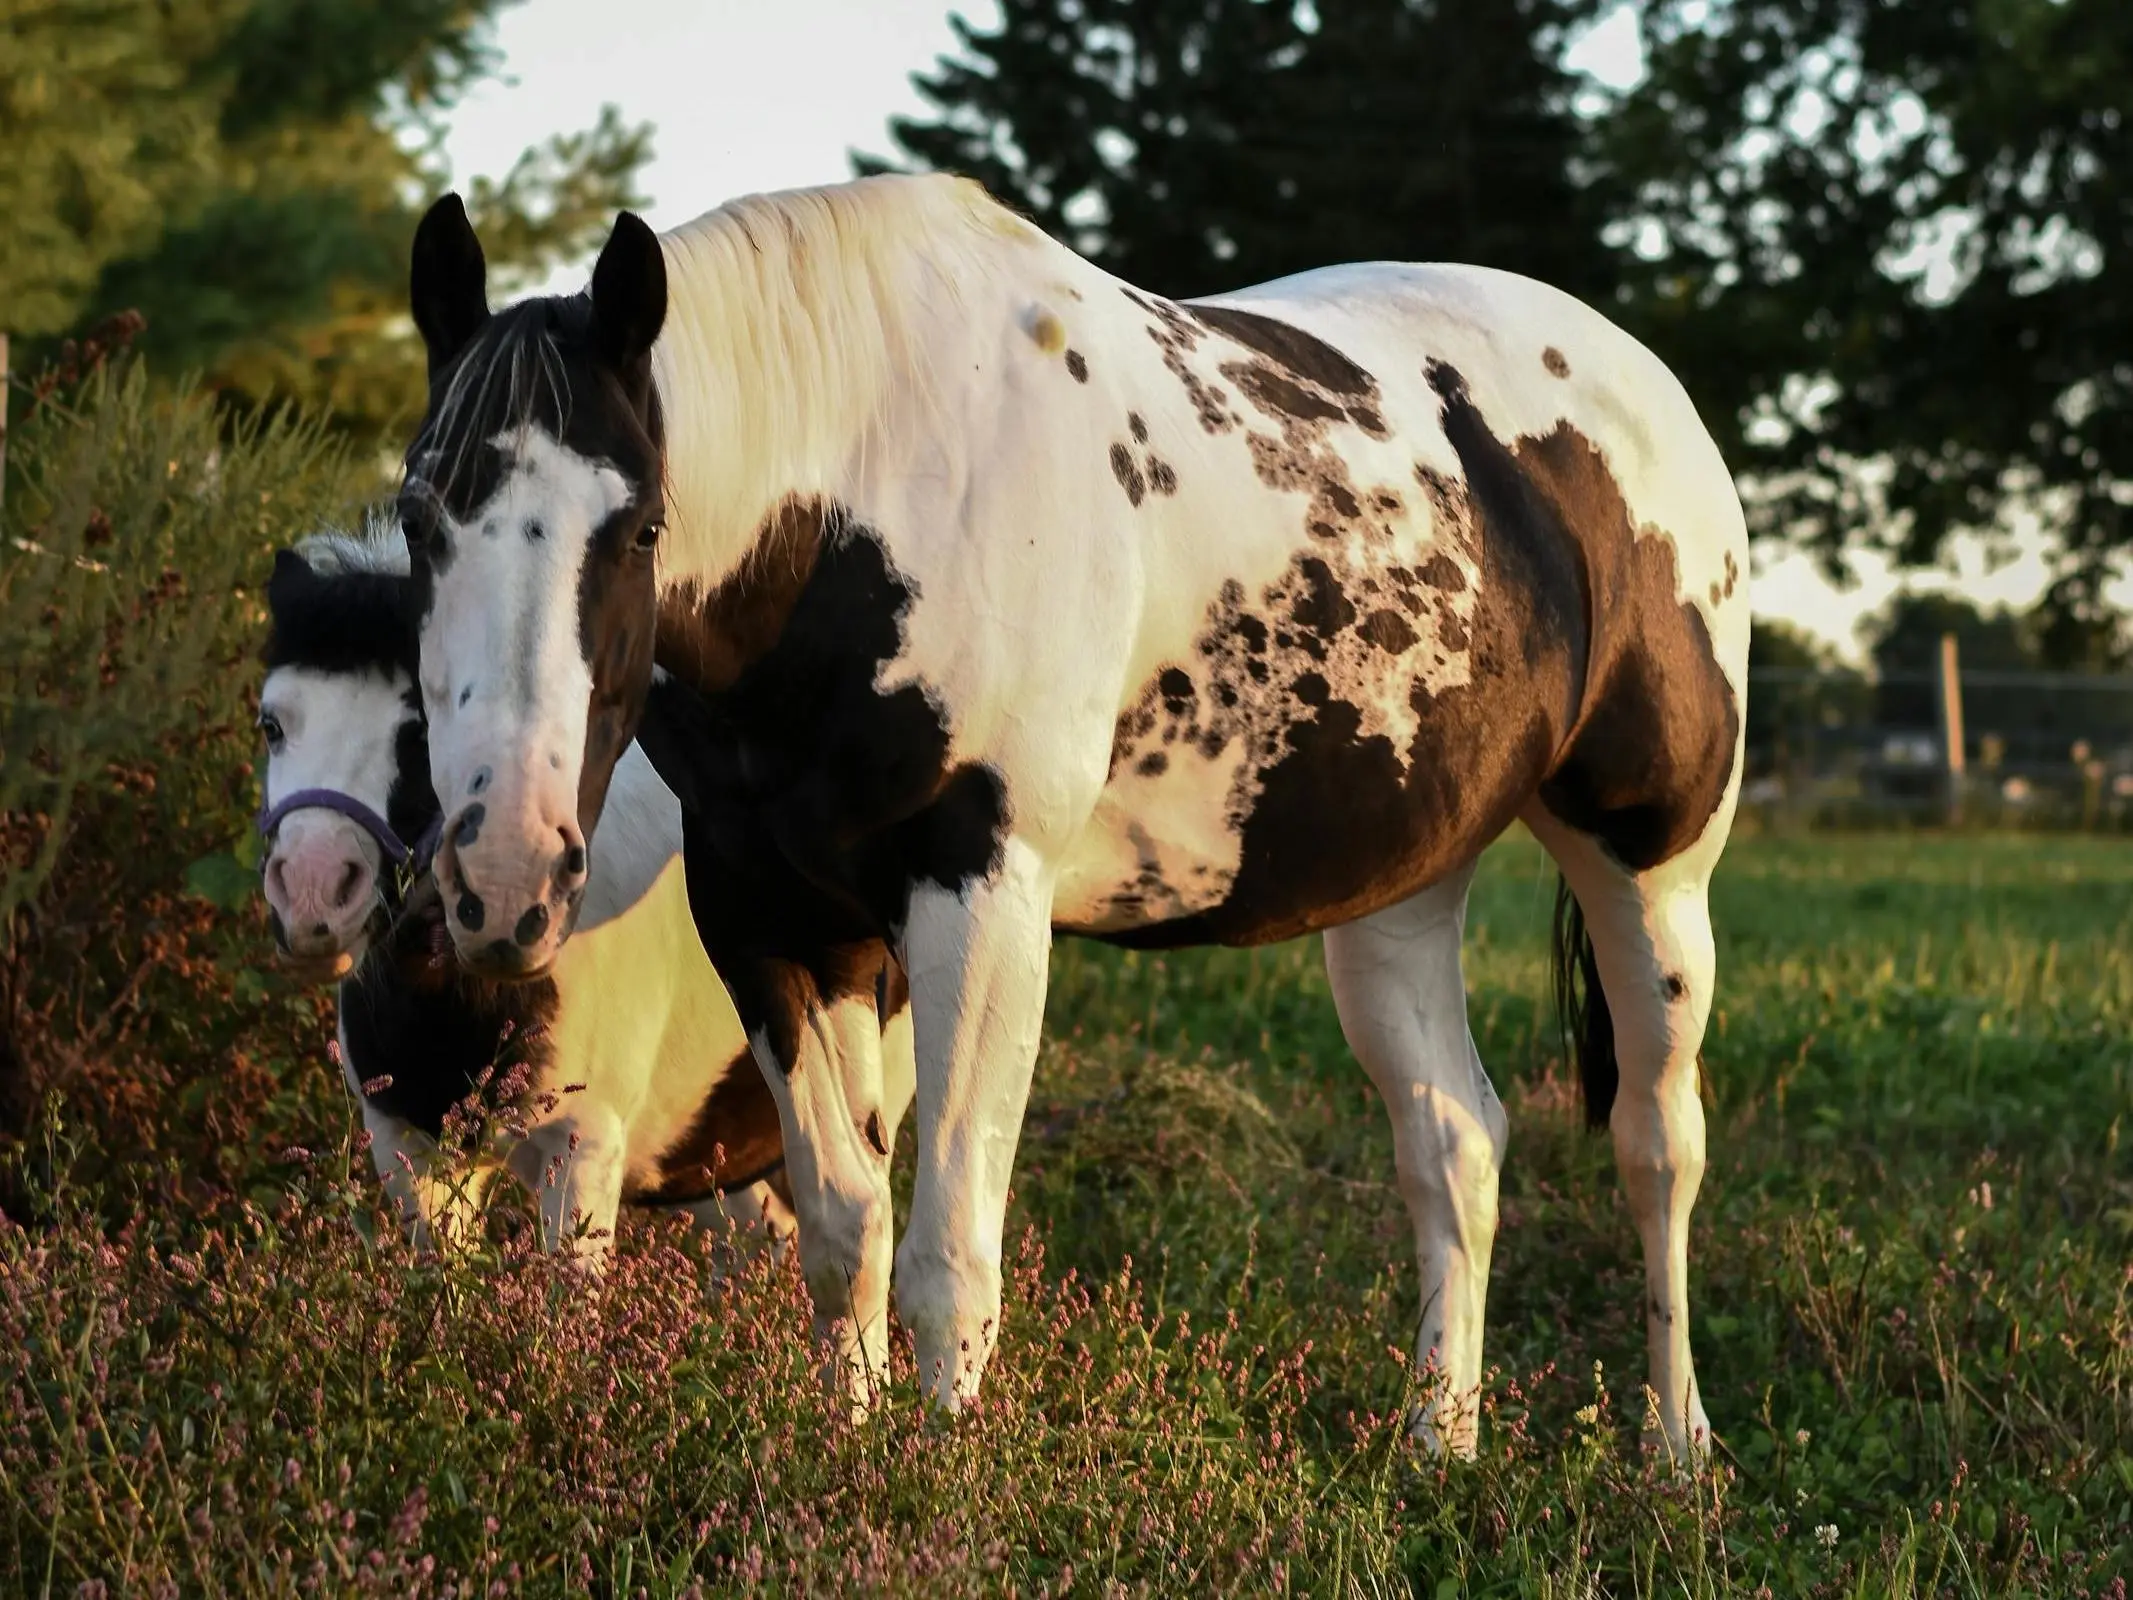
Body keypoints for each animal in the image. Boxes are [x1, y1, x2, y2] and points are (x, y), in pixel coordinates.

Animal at [392, 174, 1740, 1467]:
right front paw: (843, 1461)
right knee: (1454, 1144)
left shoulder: (983, 895)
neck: (867, 505)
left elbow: (950, 1257)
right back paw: (1437, 1445)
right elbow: (841, 1230)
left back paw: (1675, 1452)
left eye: (641, 526)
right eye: (418, 517)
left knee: (1657, 1146)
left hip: (1652, 873)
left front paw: (941, 1485)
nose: (502, 873)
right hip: (1401, 894)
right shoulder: (771, 914)